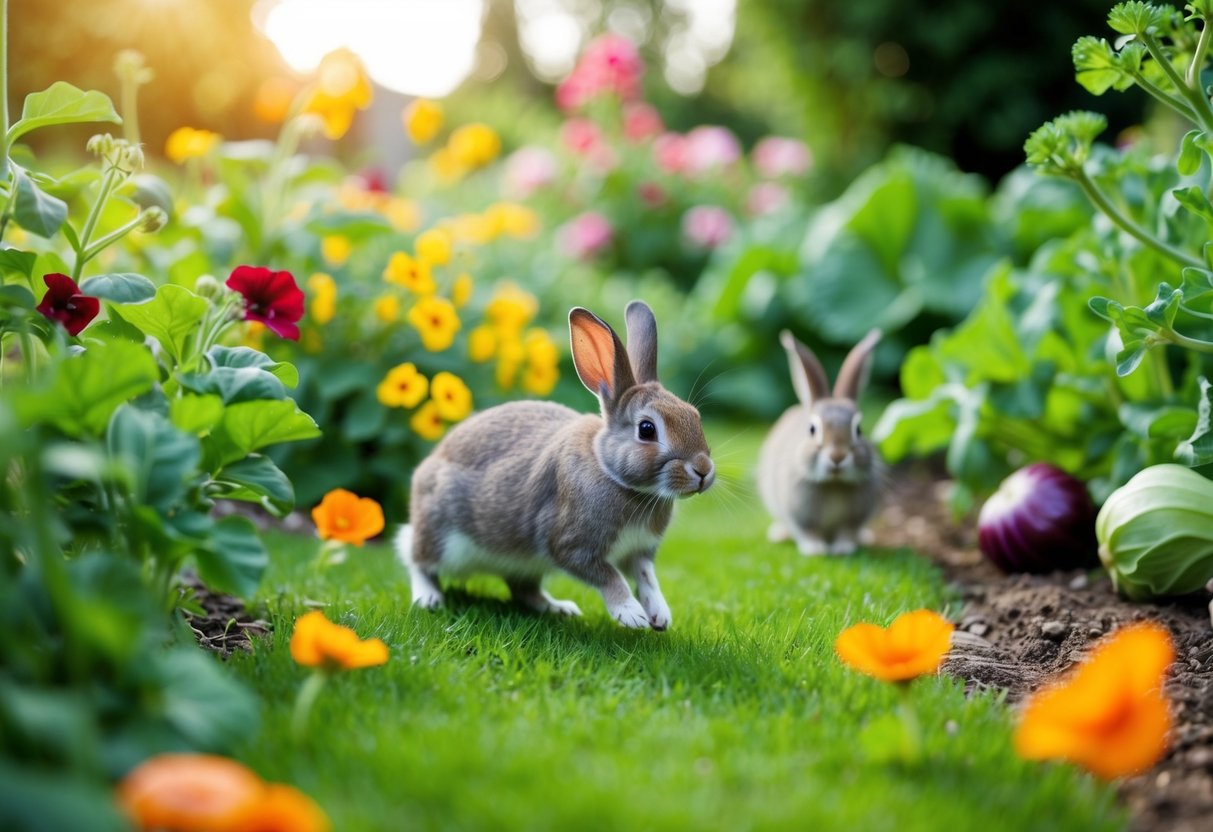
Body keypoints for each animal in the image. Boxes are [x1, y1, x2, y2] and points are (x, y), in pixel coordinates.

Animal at [397, 300, 715, 630]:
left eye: (695, 416)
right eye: (647, 429)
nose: (704, 471)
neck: (613, 474)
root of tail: (427, 468)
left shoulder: (638, 552)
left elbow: (646, 578)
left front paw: (660, 615)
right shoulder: (570, 545)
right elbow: (609, 576)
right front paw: (631, 614)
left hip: (524, 563)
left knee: (522, 588)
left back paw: (558, 608)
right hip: (441, 534)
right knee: (416, 557)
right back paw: (428, 598)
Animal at [758, 329, 882, 556]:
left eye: (859, 430)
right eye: (812, 429)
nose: (837, 457)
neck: (833, 483)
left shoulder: (855, 517)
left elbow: (847, 531)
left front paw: (843, 548)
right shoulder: (799, 513)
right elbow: (808, 531)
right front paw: (815, 550)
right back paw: (779, 534)